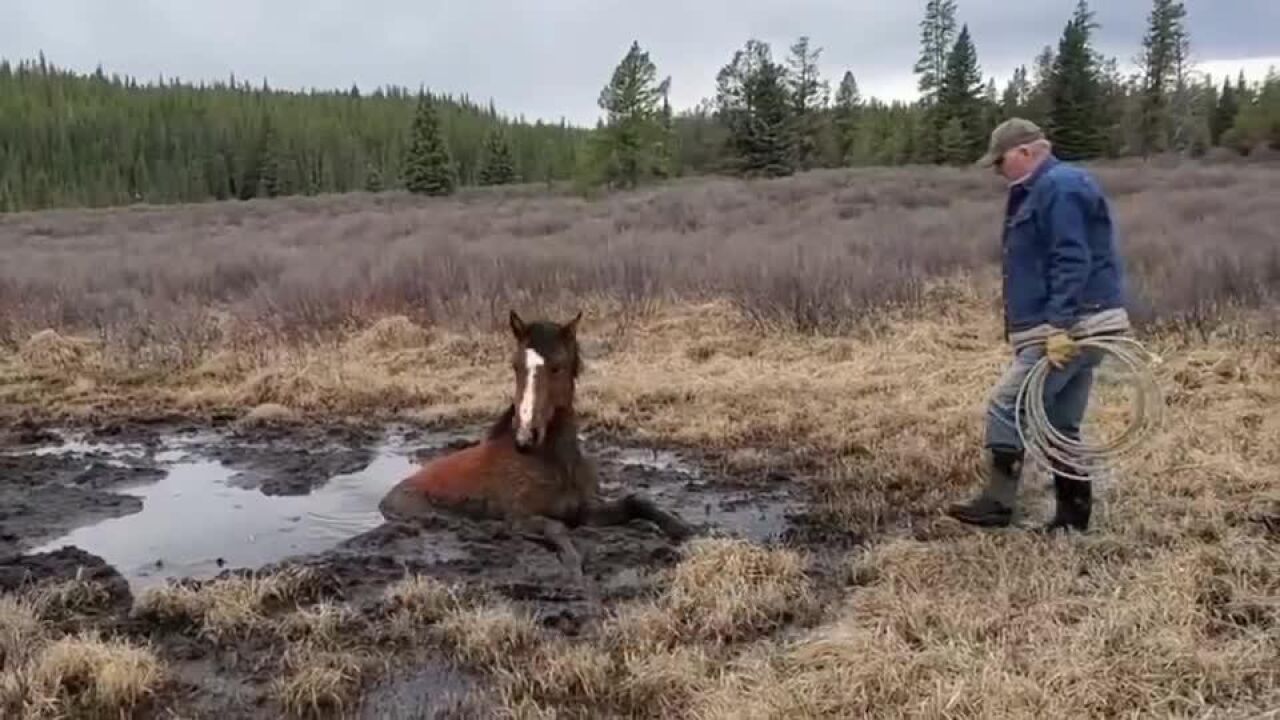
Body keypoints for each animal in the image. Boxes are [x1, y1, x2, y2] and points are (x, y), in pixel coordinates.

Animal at [376, 308, 696, 594]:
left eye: (557, 366)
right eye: (515, 366)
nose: (525, 437)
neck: (554, 462)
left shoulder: (586, 510)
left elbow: (637, 502)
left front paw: (684, 529)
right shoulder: (522, 518)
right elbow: (556, 529)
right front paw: (573, 567)